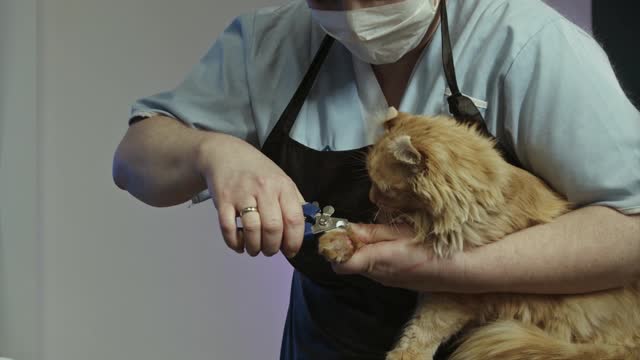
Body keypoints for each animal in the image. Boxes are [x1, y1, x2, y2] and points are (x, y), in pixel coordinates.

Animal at [318, 109, 640, 360]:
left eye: (384, 189)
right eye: (371, 183)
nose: (371, 198)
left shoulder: (453, 293)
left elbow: (422, 331)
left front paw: (404, 355)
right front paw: (337, 242)